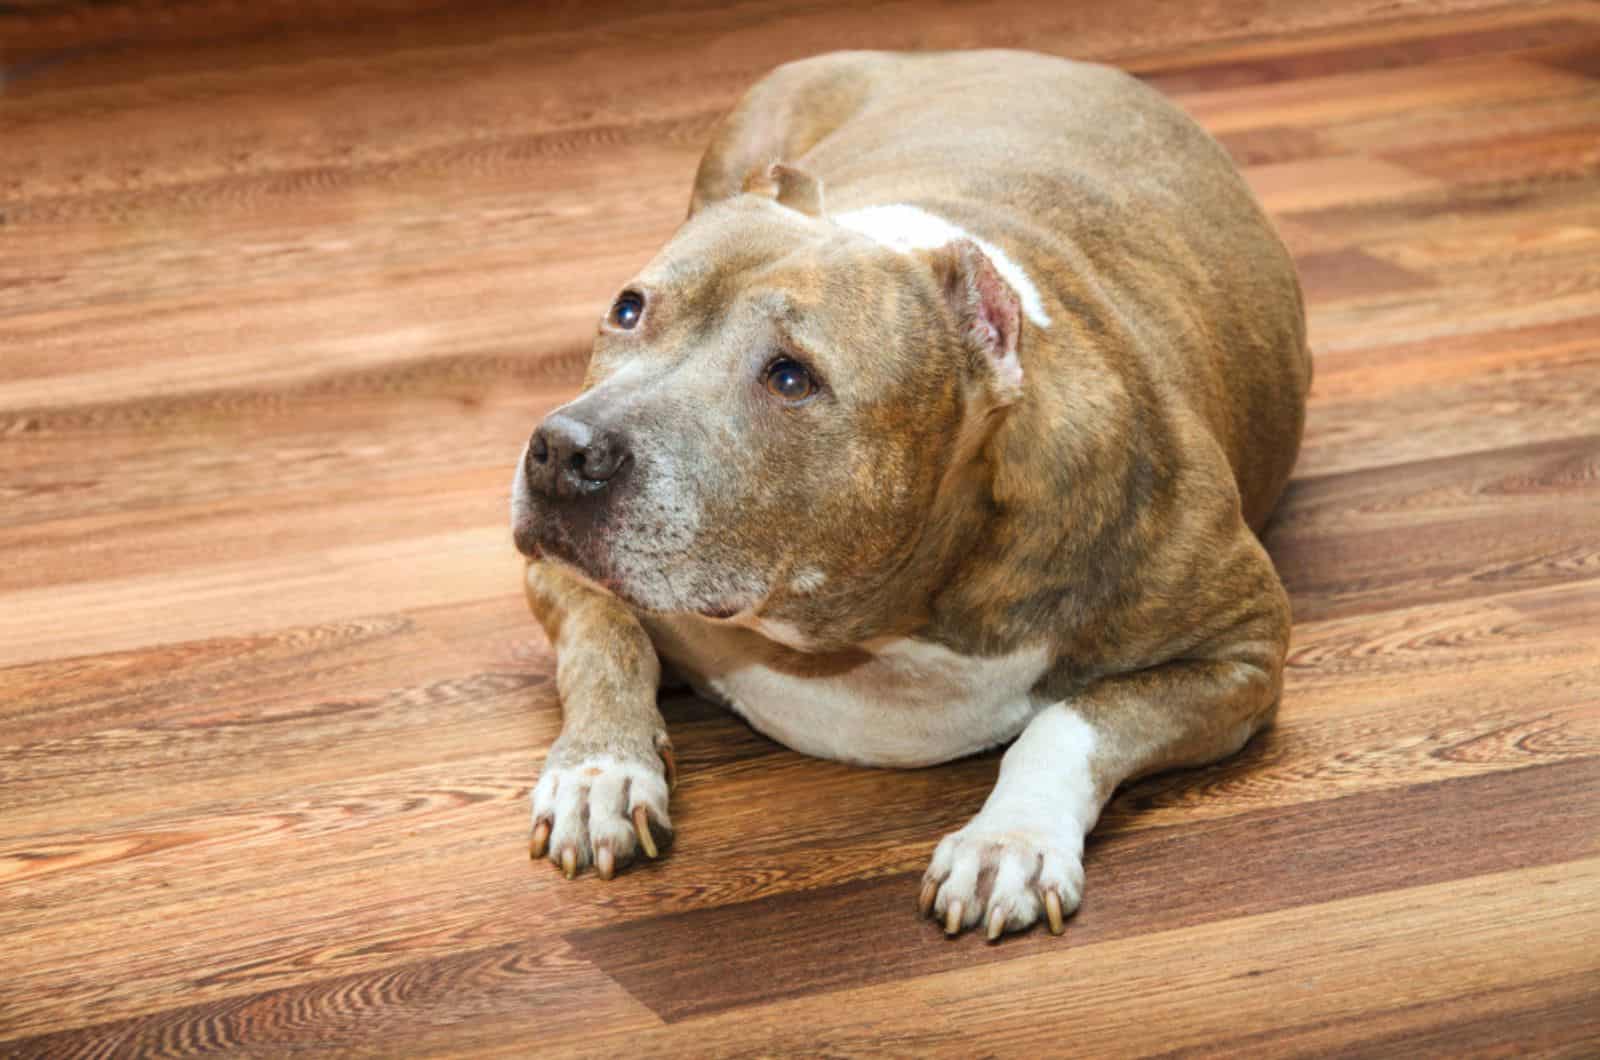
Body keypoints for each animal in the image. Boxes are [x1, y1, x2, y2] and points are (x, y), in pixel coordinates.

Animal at [505, 49, 1305, 941]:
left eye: (792, 378)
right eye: (627, 308)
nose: (563, 452)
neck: (870, 633)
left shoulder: (1242, 653)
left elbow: (1073, 720)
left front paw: (1010, 840)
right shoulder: (562, 574)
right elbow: (607, 638)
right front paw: (600, 773)